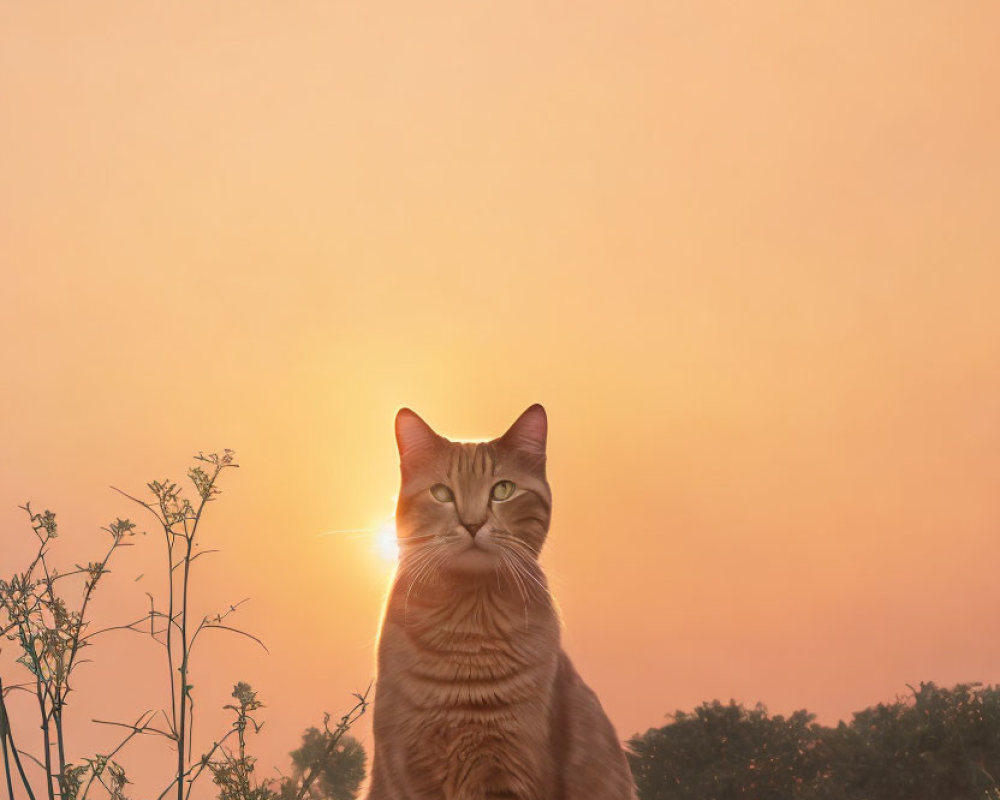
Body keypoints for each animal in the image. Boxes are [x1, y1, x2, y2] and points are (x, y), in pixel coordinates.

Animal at [366, 406, 632, 800]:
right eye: (442, 493)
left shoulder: (510, 769)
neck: (469, 624)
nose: (472, 523)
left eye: (502, 490)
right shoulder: (411, 771)